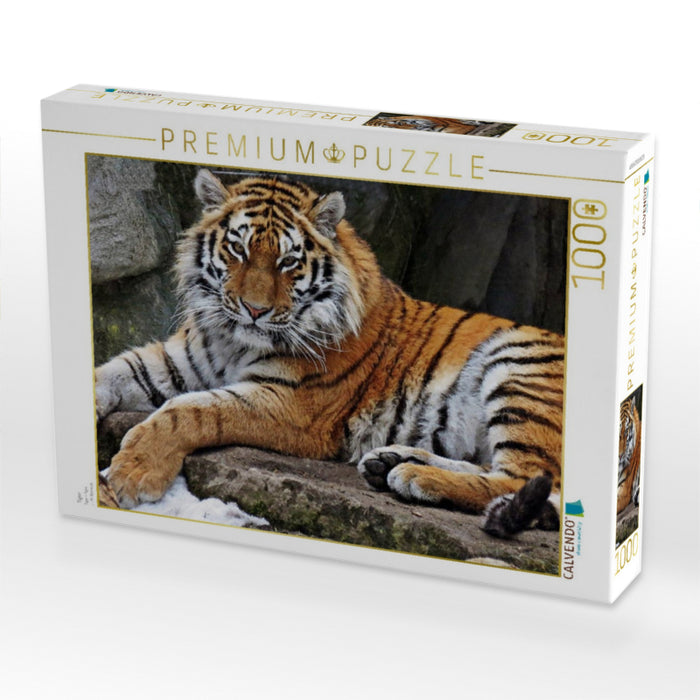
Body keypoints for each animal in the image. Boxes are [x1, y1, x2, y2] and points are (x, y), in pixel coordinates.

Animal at [96, 169, 565, 537]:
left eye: (288, 262)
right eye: (238, 249)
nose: (254, 309)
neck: (233, 340)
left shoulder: (292, 404)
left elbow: (189, 411)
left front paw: (132, 472)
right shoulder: (176, 361)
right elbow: (110, 372)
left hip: (520, 370)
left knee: (528, 479)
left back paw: (413, 475)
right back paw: (390, 461)